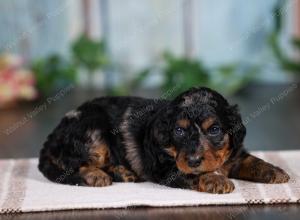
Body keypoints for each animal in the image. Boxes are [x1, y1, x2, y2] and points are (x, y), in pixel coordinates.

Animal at [38, 87, 290, 193]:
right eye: (179, 131)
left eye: (215, 129)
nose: (194, 160)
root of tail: (51, 137)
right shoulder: (166, 167)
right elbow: (192, 174)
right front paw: (216, 179)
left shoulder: (233, 153)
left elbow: (251, 160)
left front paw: (277, 172)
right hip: (94, 135)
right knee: (73, 164)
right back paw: (96, 175)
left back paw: (122, 172)